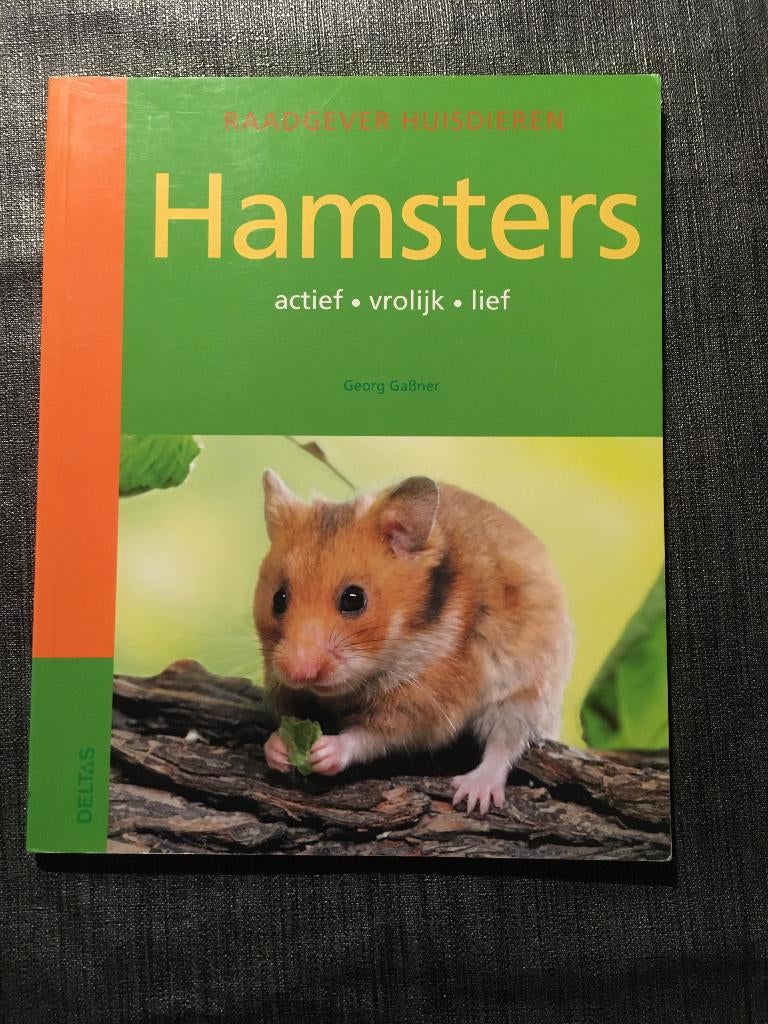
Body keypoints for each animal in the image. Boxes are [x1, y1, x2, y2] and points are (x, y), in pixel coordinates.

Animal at [254, 471, 573, 815]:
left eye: (354, 599)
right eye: (278, 599)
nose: (299, 673)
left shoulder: (422, 703)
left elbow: (371, 735)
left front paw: (325, 751)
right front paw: (277, 749)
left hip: (526, 692)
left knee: (506, 742)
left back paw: (473, 794)